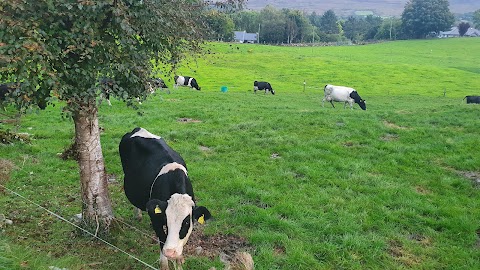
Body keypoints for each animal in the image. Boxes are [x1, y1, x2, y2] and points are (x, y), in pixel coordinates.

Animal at [118, 127, 210, 270]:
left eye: (186, 222)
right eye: (166, 220)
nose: (170, 252)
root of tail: (138, 128)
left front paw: (179, 261)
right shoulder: (156, 218)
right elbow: (162, 238)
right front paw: (165, 264)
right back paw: (137, 215)